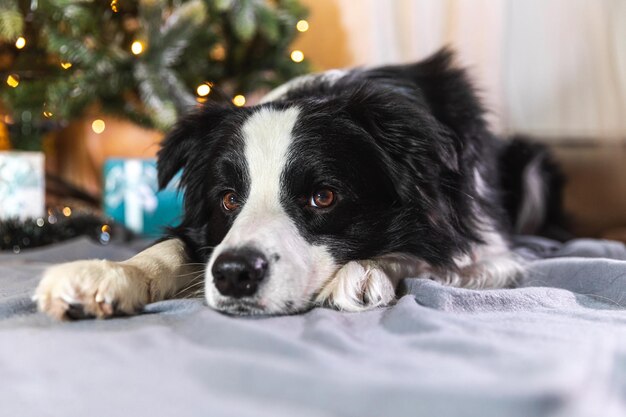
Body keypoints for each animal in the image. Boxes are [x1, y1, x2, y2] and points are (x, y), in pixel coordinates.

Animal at [34, 50, 560, 320]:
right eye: (228, 199)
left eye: (323, 196)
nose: (234, 275)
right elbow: (170, 248)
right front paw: (103, 276)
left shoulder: (490, 248)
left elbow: (429, 253)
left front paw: (364, 271)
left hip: (534, 166)